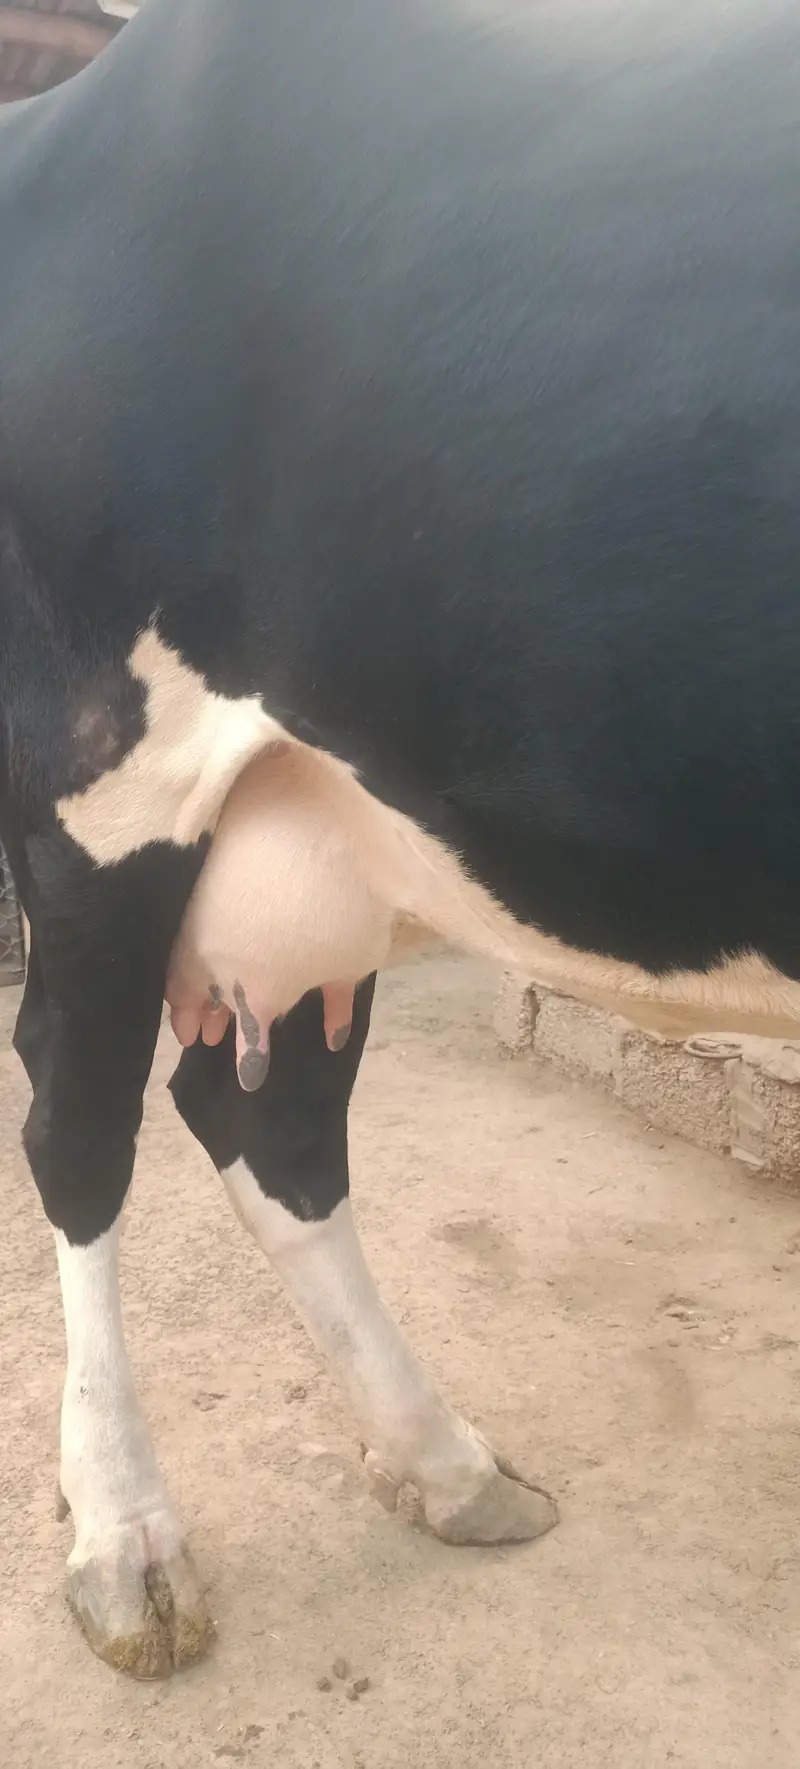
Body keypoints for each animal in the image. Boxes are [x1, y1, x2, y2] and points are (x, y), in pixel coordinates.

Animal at [2, 0, 800, 1678]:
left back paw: (444, 1461)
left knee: (267, 1122)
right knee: (79, 1122)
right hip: (98, 769)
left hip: (325, 834)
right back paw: (128, 1539)